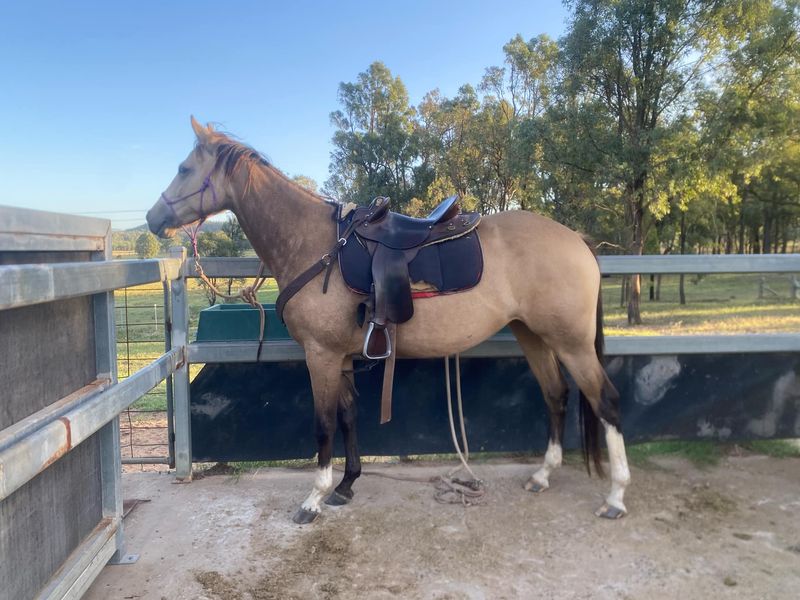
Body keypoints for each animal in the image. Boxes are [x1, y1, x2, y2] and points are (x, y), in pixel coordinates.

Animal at [146, 117, 631, 524]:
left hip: (570, 341)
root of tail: (577, 241)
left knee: (605, 400)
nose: (153, 218)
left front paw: (314, 498)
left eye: (184, 168)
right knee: (556, 394)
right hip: (532, 334)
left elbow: (323, 424)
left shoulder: (320, 356)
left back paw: (615, 496)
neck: (316, 243)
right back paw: (543, 476)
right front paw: (346, 486)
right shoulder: (341, 358)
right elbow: (348, 417)